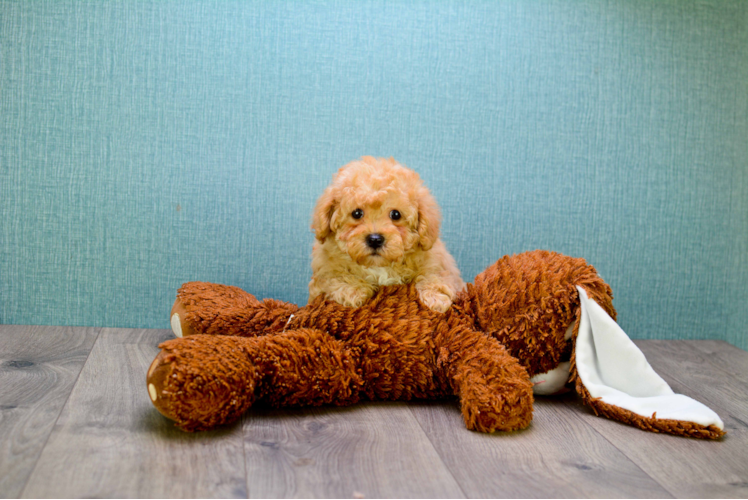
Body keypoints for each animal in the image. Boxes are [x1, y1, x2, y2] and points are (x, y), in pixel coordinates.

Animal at [308, 156, 462, 312]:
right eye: (356, 213)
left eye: (396, 214)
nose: (375, 239)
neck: (379, 267)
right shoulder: (323, 272)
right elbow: (333, 277)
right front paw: (352, 291)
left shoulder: (439, 263)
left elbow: (436, 275)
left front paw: (436, 298)